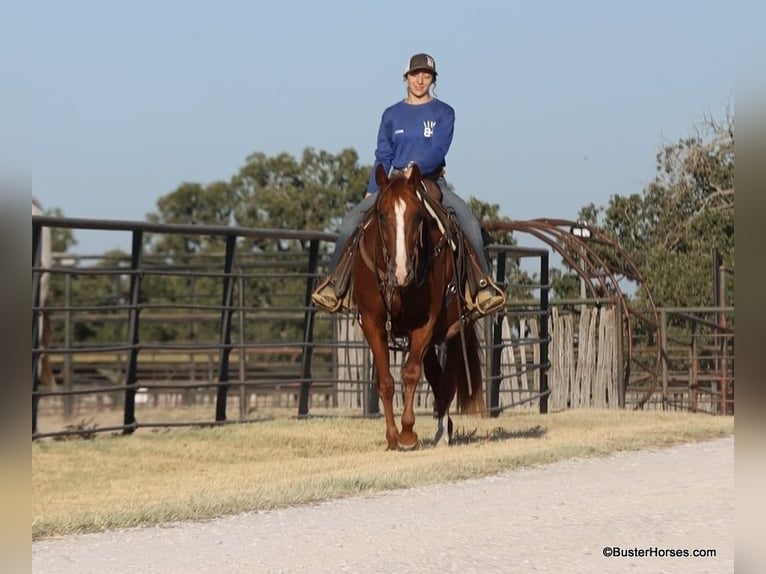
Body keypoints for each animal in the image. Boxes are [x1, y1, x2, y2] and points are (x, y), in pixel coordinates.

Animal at [352, 164, 484, 450]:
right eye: (382, 215)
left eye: (417, 217)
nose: (402, 272)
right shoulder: (372, 323)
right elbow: (386, 381)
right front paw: (392, 437)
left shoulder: (425, 323)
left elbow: (411, 373)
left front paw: (408, 434)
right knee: (435, 376)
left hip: (454, 331)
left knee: (446, 380)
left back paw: (443, 432)